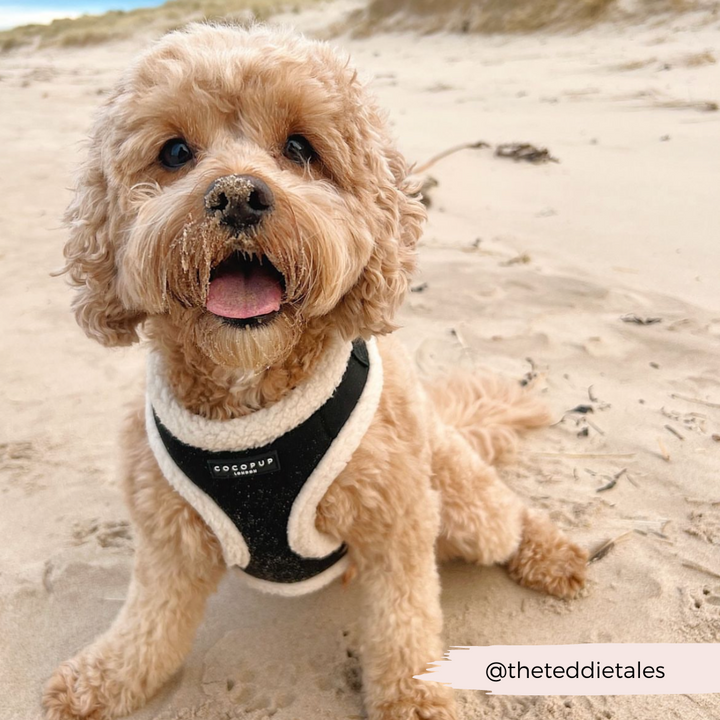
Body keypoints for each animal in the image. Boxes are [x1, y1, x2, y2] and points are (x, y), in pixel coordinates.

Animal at [42, 22, 588, 720]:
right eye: (174, 152)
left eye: (300, 147)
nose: (237, 195)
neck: (250, 394)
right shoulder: (168, 542)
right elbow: (149, 626)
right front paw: (102, 678)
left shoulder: (397, 519)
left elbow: (404, 623)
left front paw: (414, 698)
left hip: (459, 499)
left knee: (508, 515)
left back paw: (555, 553)